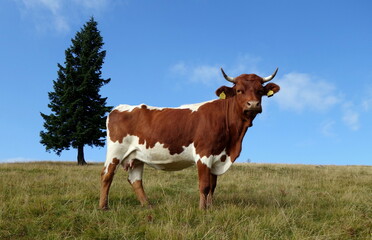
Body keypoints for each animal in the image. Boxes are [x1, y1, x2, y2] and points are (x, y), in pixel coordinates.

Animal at [99, 68, 280, 210]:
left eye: (260, 91)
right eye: (239, 90)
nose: (253, 104)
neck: (233, 141)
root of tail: (119, 108)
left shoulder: (217, 156)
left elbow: (213, 186)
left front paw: (210, 208)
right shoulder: (204, 153)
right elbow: (205, 185)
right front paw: (202, 210)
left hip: (136, 157)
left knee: (135, 180)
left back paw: (148, 206)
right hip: (116, 151)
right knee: (107, 175)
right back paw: (104, 207)